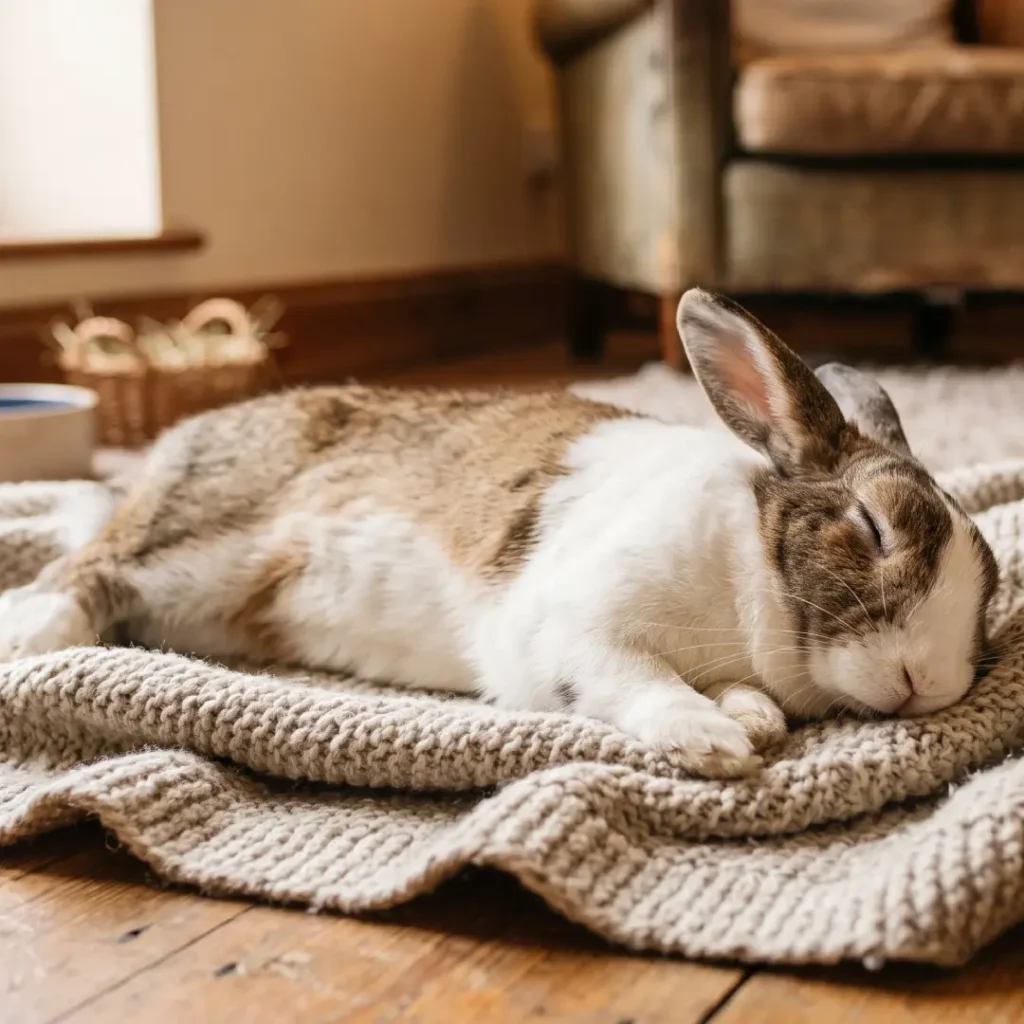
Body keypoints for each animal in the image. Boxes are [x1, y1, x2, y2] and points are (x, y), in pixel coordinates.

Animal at [0, 289, 998, 776]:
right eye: (872, 527)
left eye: (990, 587)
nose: (926, 684)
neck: (751, 558)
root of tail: (176, 441)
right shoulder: (573, 628)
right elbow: (634, 679)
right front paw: (710, 742)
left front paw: (749, 719)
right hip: (195, 546)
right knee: (84, 572)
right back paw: (27, 640)